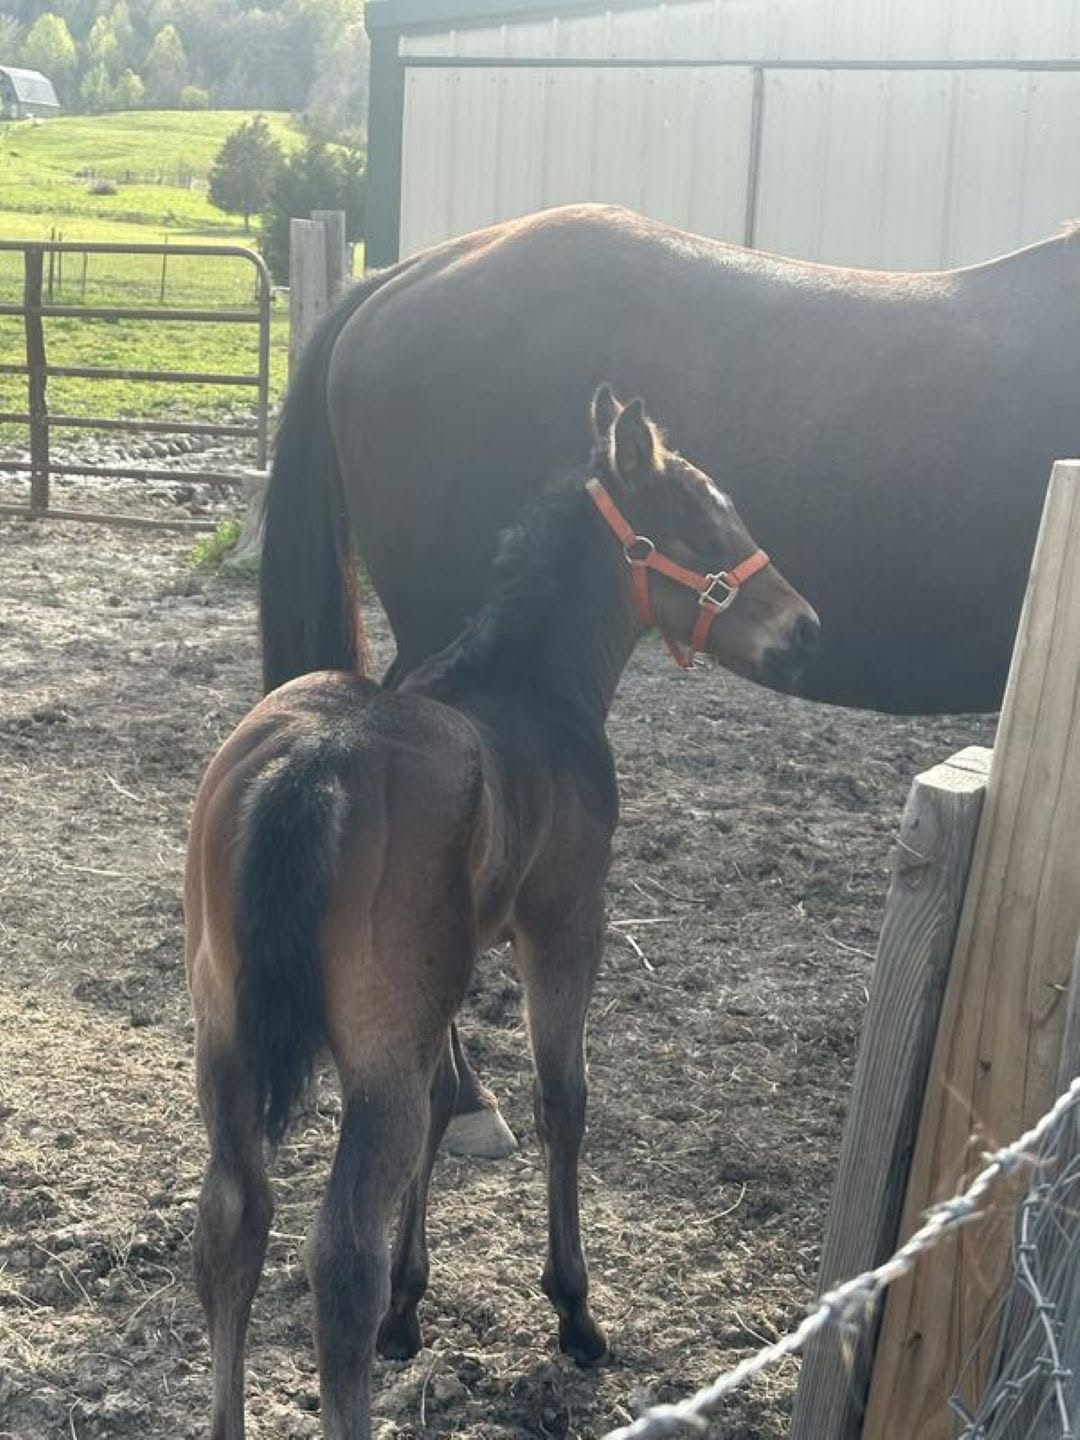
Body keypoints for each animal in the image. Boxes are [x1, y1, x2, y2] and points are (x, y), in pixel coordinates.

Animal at [186, 386, 819, 1440]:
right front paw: (576, 1313)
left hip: (225, 1032)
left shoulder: (447, 974)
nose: (803, 626)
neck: (532, 688)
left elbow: (451, 1097)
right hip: (373, 1056)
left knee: (232, 1219)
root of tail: (315, 765)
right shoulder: (564, 921)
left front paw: (411, 1309)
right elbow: (564, 1098)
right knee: (336, 1259)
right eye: (702, 520)